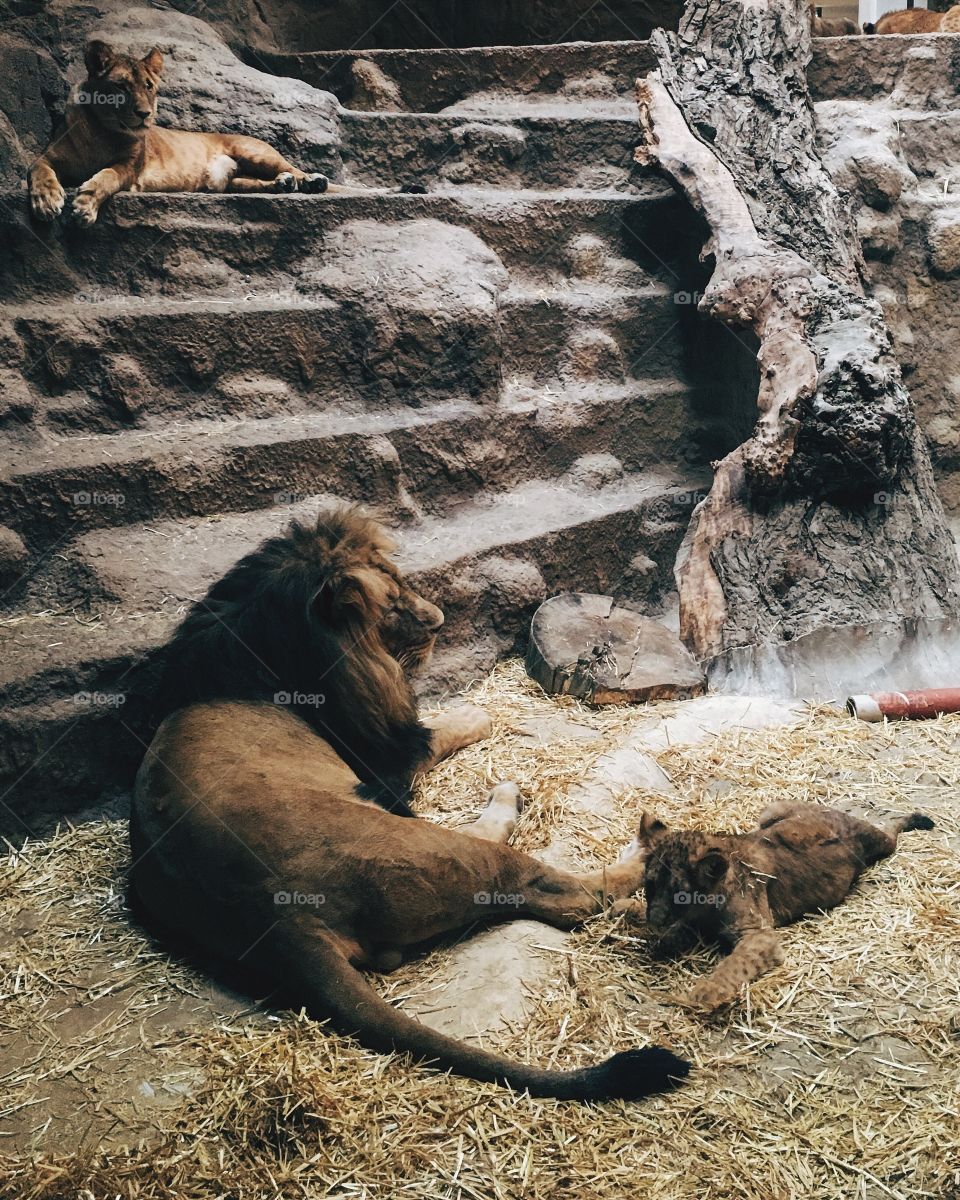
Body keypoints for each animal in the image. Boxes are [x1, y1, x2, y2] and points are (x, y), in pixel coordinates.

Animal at [29, 41, 422, 226]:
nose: (145, 114)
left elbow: (106, 177)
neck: (103, 130)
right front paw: (47, 201)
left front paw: (83, 206)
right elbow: (39, 170)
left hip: (256, 152)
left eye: (149, 86)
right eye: (121, 86)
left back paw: (310, 181)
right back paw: (287, 186)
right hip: (227, 180)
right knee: (257, 183)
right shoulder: (49, 156)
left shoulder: (130, 167)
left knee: (296, 169)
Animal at [130, 506, 690, 1101]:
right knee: (571, 895)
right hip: (430, 845)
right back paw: (626, 847)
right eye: (394, 602)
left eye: (401, 582)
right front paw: (478, 715)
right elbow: (449, 727)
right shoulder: (388, 758)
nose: (440, 620)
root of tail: (282, 919)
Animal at [632, 803, 934, 1013]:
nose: (653, 920)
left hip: (881, 843)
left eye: (679, 892)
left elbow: (735, 964)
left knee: (891, 829)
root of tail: (833, 811)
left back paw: (917, 818)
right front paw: (663, 942)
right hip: (770, 811)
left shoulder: (759, 935)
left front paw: (707, 991)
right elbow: (681, 928)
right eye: (650, 885)